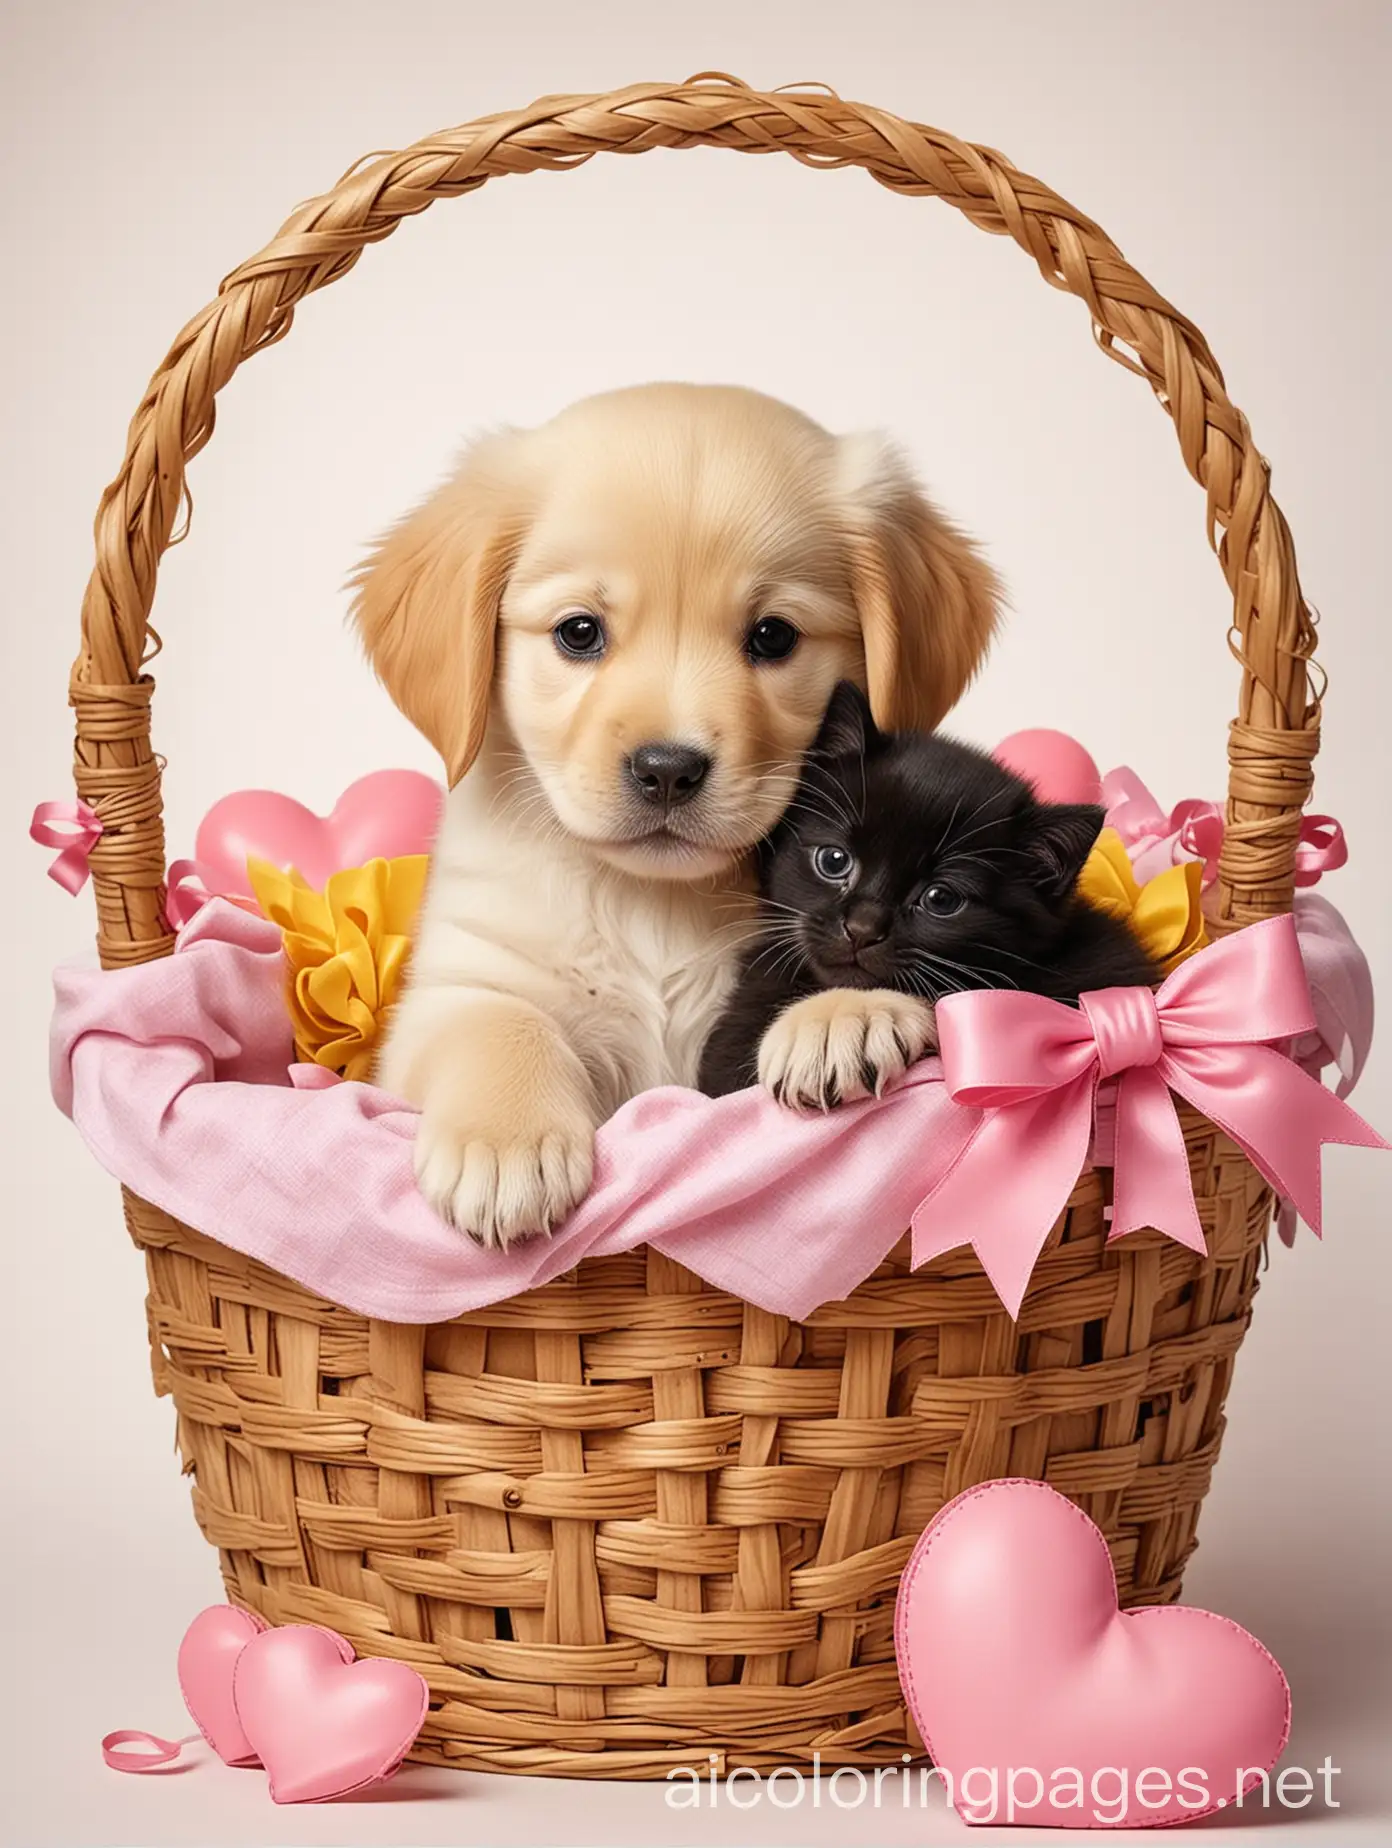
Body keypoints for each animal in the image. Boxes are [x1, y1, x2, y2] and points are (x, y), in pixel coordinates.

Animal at [353, 382, 990, 1249]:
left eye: (773, 636)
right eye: (579, 632)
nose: (667, 770)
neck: (652, 903)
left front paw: (843, 1016)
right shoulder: (458, 982)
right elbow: (494, 1022)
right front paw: (507, 1142)